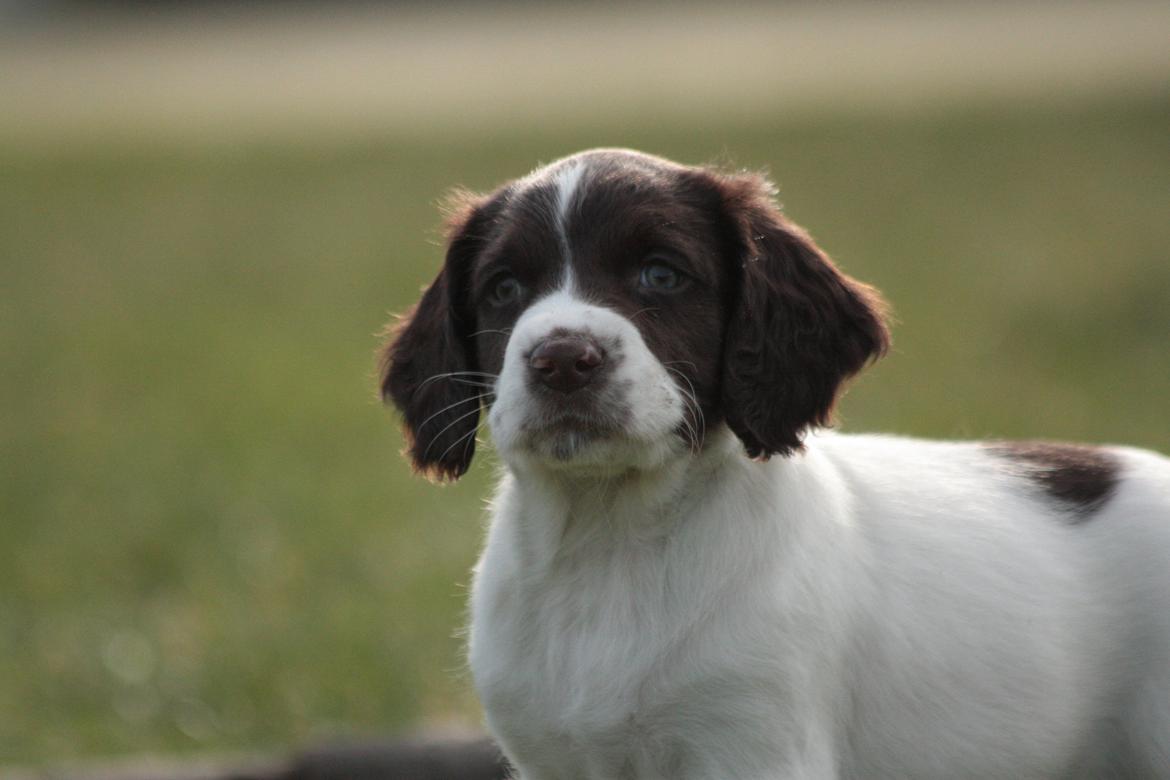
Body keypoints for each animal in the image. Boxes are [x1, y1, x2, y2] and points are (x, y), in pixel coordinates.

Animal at [379, 149, 1165, 776]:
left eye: (660, 274)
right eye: (504, 289)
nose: (562, 360)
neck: (611, 541)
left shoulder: (752, 743)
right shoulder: (550, 756)